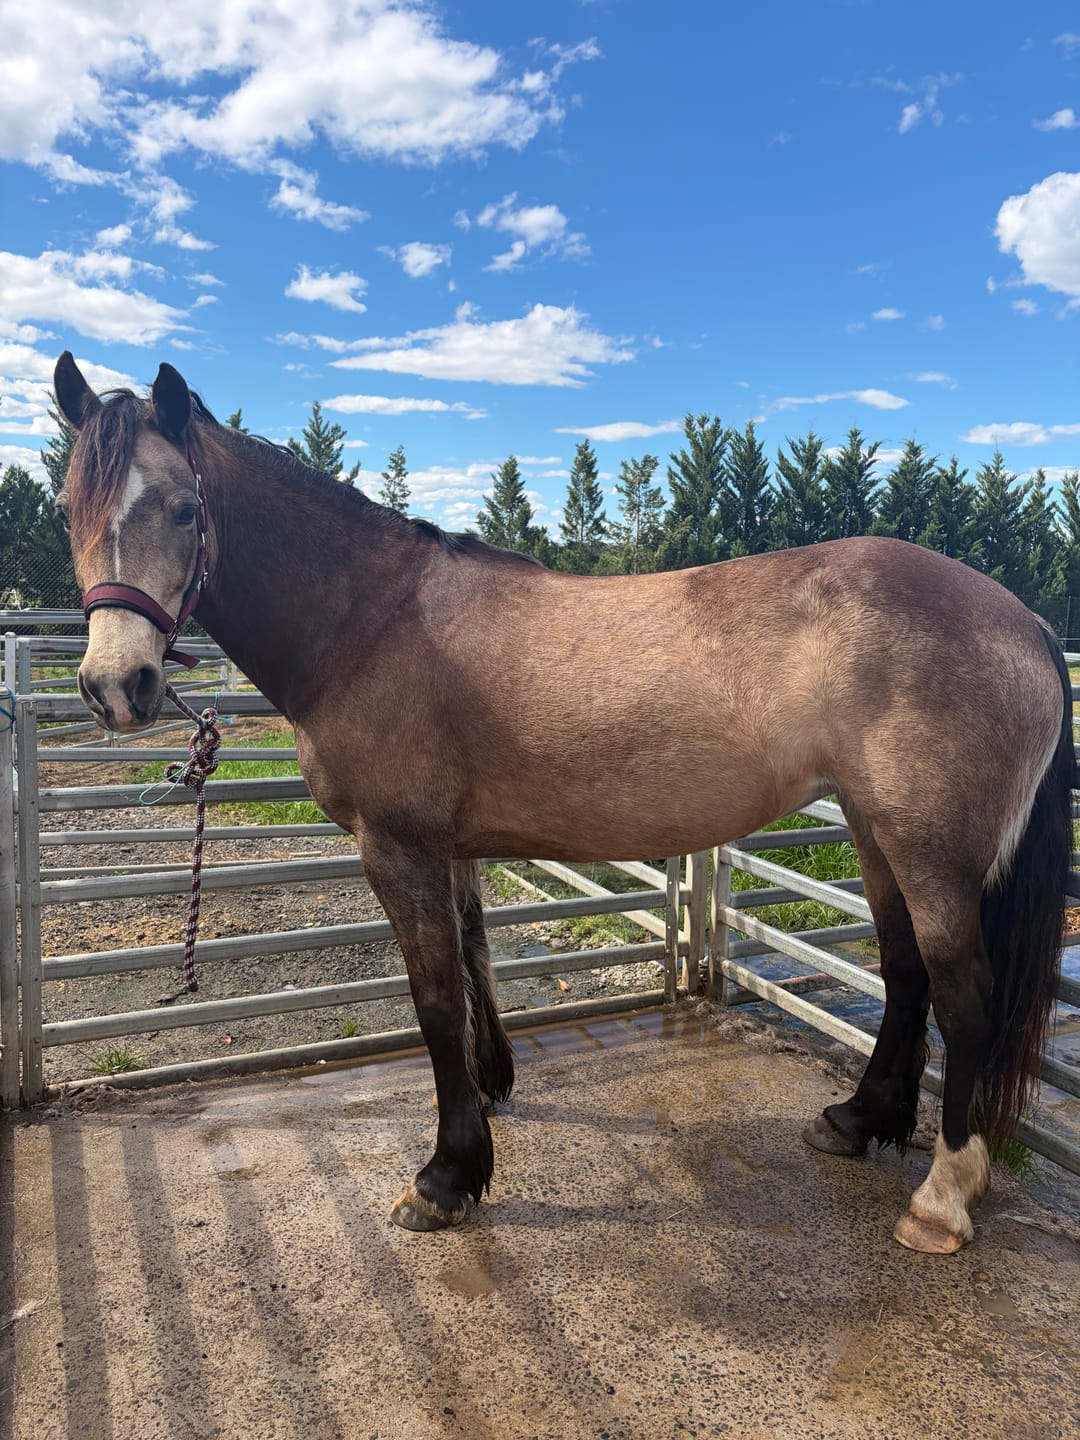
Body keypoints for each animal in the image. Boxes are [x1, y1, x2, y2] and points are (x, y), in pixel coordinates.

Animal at [52, 351, 1071, 1253]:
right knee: (904, 974)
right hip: (872, 829)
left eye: (186, 508)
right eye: (69, 508)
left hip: (929, 849)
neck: (370, 624)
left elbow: (432, 996)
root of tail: (1024, 618)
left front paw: (445, 1178)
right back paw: (857, 1120)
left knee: (963, 997)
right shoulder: (448, 849)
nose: (115, 687)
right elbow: (473, 959)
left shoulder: (397, 847)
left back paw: (941, 1200)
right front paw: (490, 1095)